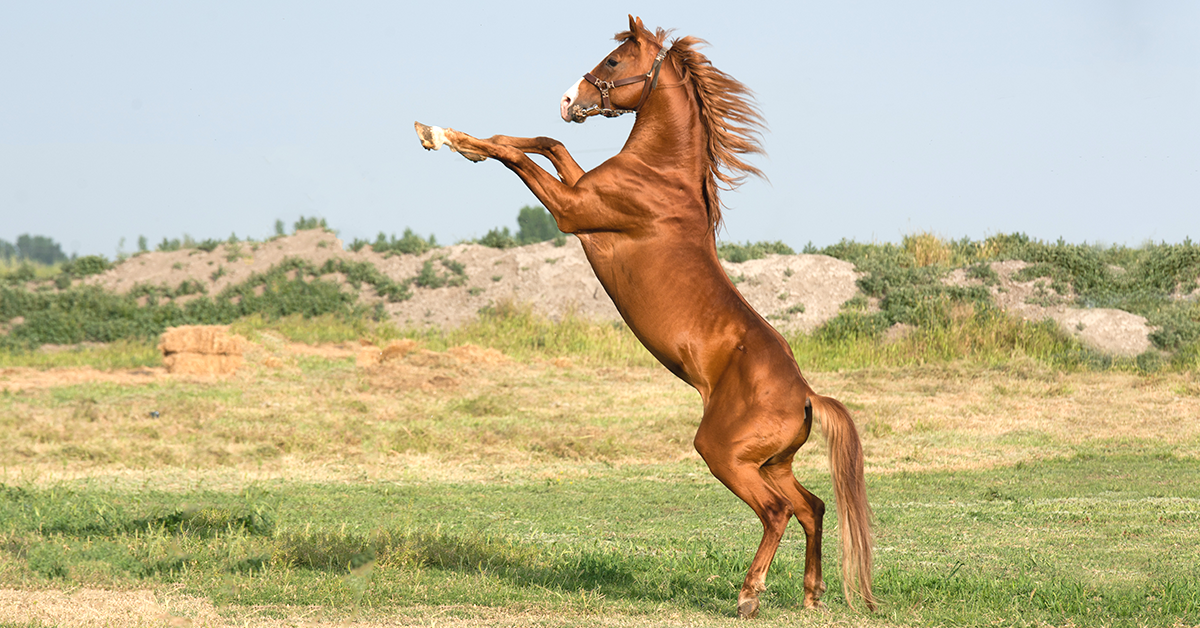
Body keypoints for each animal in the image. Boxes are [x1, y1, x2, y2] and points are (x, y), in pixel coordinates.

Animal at [417, 14, 878, 619]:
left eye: (613, 61)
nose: (568, 99)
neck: (660, 176)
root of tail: (806, 396)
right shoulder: (577, 189)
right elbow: (546, 143)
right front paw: (449, 136)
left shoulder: (572, 211)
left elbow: (523, 156)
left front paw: (443, 137)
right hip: (773, 464)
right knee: (813, 507)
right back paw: (811, 595)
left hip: (725, 457)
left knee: (777, 513)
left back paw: (749, 596)